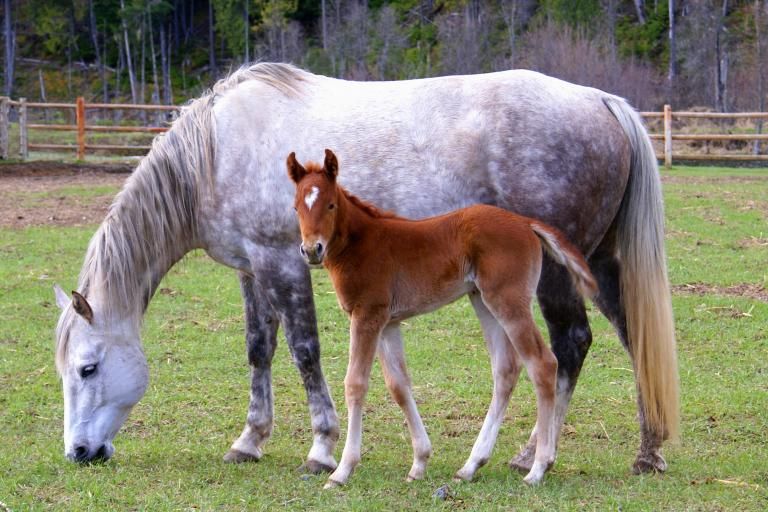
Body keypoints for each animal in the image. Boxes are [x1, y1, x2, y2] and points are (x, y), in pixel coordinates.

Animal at [287, 149, 598, 487]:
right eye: (296, 206)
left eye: (330, 204)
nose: (312, 250)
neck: (361, 243)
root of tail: (526, 222)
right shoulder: (388, 322)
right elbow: (399, 385)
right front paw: (419, 463)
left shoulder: (366, 316)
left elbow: (355, 384)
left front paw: (342, 471)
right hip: (482, 301)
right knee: (505, 370)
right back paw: (471, 465)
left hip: (509, 301)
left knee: (542, 363)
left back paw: (538, 468)